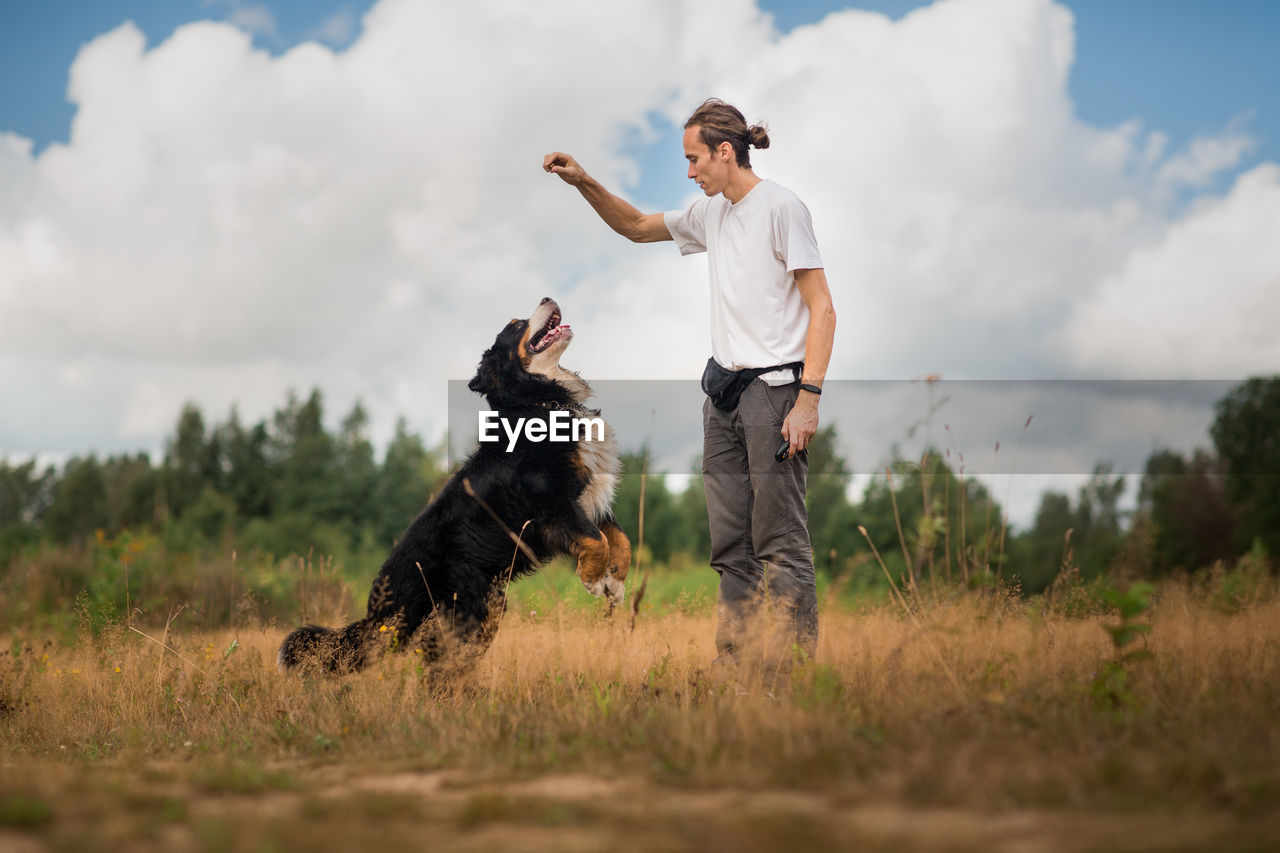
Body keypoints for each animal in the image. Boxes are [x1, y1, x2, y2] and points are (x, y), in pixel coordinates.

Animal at [285, 297, 634, 671]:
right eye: (515, 325)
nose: (546, 298)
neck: (542, 404)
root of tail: (376, 606)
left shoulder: (589, 498)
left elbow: (620, 540)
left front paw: (615, 583)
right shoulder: (553, 503)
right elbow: (596, 540)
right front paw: (593, 580)